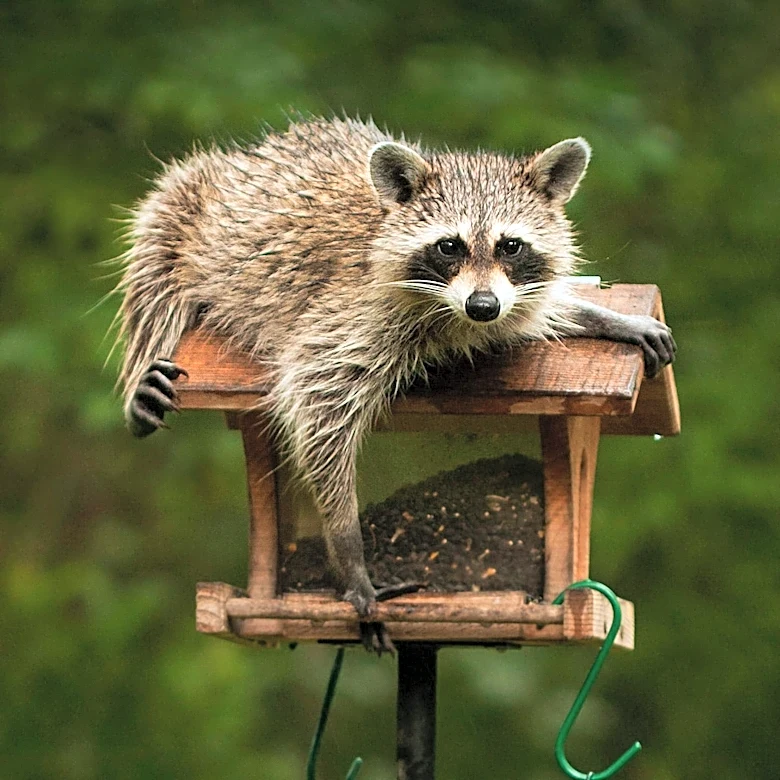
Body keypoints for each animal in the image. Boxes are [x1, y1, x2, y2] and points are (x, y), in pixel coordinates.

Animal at [115, 117, 675, 652]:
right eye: (449, 246)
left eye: (511, 246)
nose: (483, 305)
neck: (452, 313)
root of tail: (248, 155)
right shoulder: (352, 315)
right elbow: (319, 403)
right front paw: (348, 547)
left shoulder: (506, 299)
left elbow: (532, 311)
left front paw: (599, 315)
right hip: (183, 210)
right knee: (154, 282)